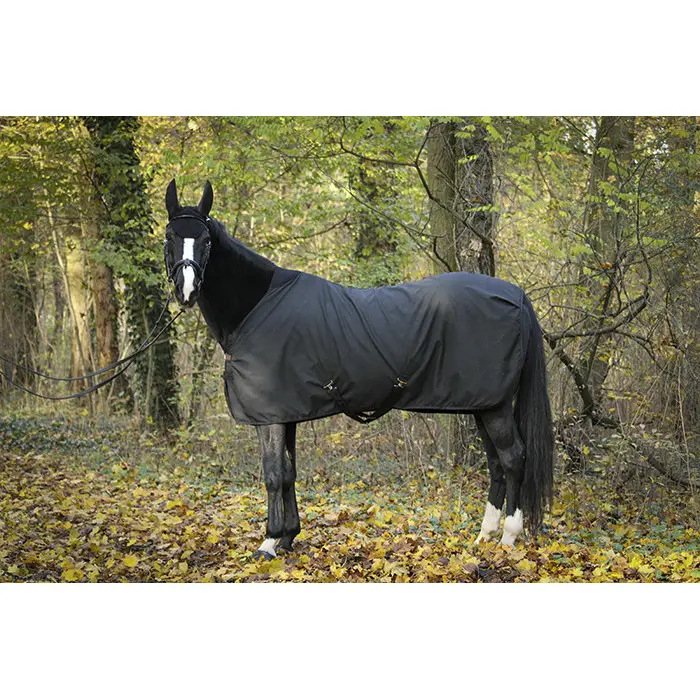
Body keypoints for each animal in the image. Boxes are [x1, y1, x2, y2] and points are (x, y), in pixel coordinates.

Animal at [163, 180, 553, 559]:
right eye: (169, 236)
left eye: (206, 241)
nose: (186, 290)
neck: (257, 307)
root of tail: (516, 295)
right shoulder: (288, 412)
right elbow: (289, 473)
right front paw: (289, 537)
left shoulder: (270, 415)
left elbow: (273, 474)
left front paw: (270, 542)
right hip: (482, 404)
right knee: (496, 462)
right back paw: (485, 535)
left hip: (495, 406)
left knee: (513, 458)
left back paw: (508, 537)